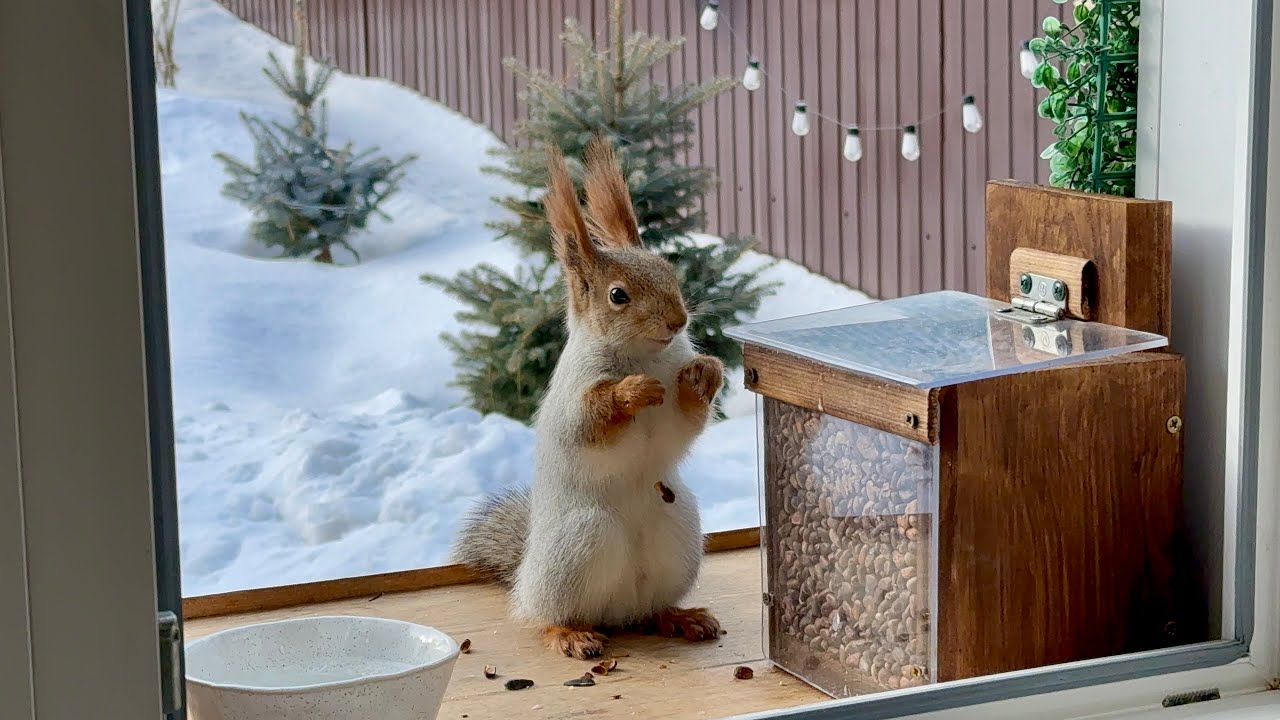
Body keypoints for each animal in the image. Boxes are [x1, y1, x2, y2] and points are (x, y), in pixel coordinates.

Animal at [453, 138, 724, 660]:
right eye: (618, 295)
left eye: (668, 269)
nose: (678, 320)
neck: (645, 355)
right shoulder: (572, 395)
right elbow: (588, 422)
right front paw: (633, 391)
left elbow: (686, 421)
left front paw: (704, 372)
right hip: (578, 542)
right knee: (547, 616)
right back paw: (571, 633)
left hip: (679, 532)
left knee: (652, 610)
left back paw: (680, 617)